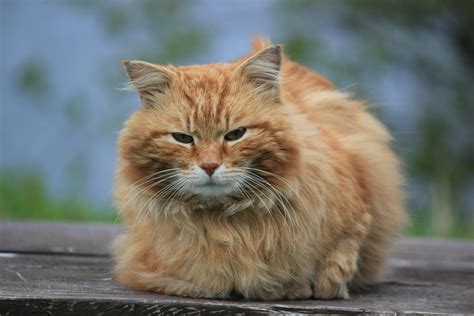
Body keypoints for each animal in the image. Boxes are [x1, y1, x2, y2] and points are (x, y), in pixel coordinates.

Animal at [113, 36, 406, 298]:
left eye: (235, 134)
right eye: (183, 138)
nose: (209, 165)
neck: (230, 223)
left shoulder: (362, 199)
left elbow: (338, 262)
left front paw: (308, 286)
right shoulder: (146, 263)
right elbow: (191, 280)